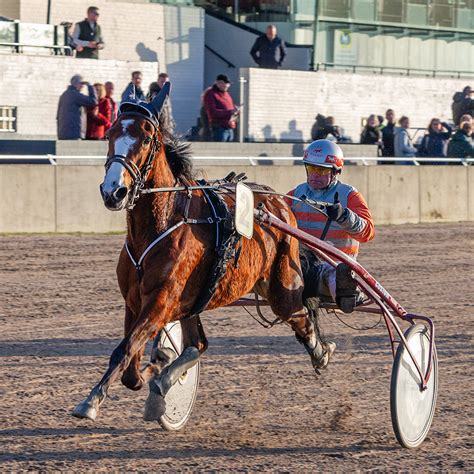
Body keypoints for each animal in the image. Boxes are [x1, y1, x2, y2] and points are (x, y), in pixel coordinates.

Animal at [72, 83, 332, 420]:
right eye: (110, 133)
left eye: (146, 138)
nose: (114, 191)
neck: (160, 223)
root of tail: (279, 203)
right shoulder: (134, 300)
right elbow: (131, 368)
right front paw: (158, 364)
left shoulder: (160, 299)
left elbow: (125, 349)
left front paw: (91, 401)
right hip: (197, 301)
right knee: (199, 344)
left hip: (282, 288)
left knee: (300, 317)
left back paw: (322, 352)